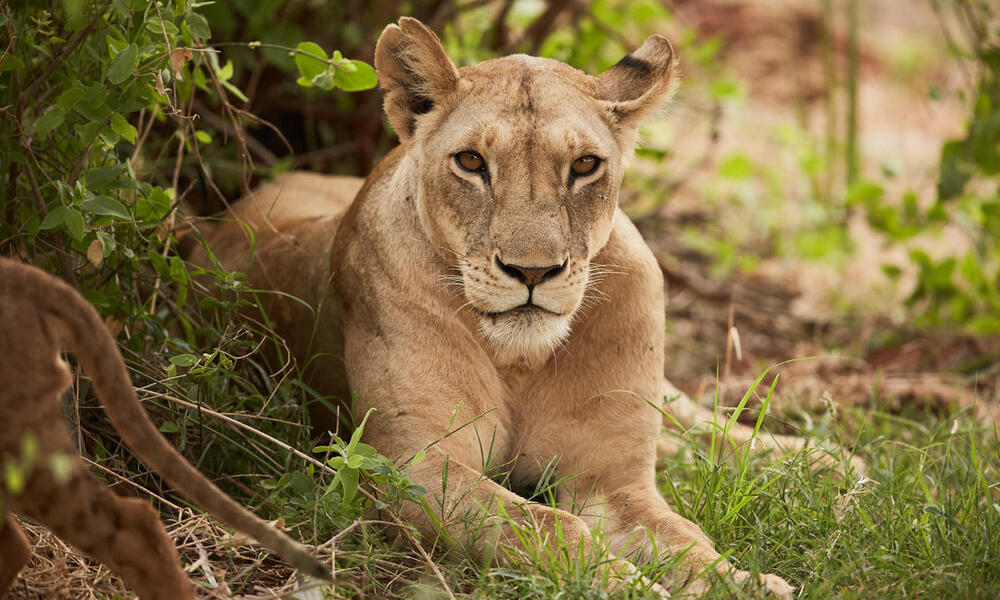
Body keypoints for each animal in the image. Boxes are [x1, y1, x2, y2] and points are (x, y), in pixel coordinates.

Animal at [185, 18, 859, 597]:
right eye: (471, 162)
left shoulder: (611, 477)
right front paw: (631, 585)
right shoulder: (414, 466)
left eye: (584, 165)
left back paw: (824, 463)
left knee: (694, 422)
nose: (533, 271)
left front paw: (744, 582)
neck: (522, 360)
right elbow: (549, 527)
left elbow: (685, 537)